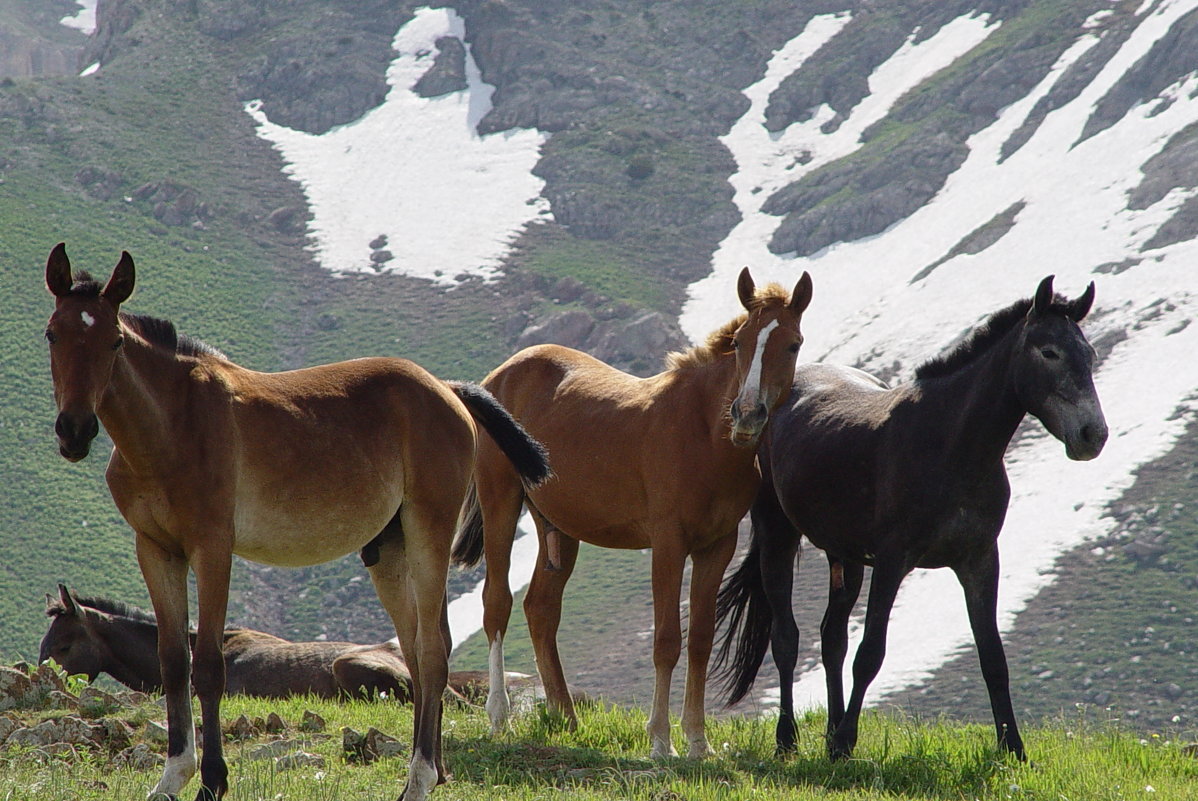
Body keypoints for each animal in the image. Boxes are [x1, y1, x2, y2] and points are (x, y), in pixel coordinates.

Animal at [43, 244, 551, 799]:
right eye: (52, 333)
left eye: (114, 340)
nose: (74, 431)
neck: (173, 425)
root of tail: (449, 389)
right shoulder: (156, 550)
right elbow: (174, 662)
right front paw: (172, 777)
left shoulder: (212, 550)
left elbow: (209, 667)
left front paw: (212, 781)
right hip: (389, 553)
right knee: (419, 653)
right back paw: (435, 770)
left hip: (428, 537)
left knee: (433, 655)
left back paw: (417, 780)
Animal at [450, 267, 814, 756]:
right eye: (740, 342)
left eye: (792, 344)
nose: (747, 414)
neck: (704, 434)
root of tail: (497, 378)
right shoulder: (668, 543)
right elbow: (666, 640)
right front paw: (660, 739)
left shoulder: (717, 546)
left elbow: (700, 641)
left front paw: (698, 740)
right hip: (501, 503)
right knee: (497, 603)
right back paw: (499, 716)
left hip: (559, 526)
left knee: (541, 609)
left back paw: (566, 718)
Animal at [714, 277, 1106, 761]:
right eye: (1049, 352)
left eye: (1088, 354)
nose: (1093, 435)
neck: (950, 444)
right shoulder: (892, 561)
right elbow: (870, 654)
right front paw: (845, 741)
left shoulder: (979, 561)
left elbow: (993, 657)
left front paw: (1013, 748)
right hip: (778, 534)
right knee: (787, 639)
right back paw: (788, 739)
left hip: (844, 556)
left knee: (831, 638)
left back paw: (829, 732)